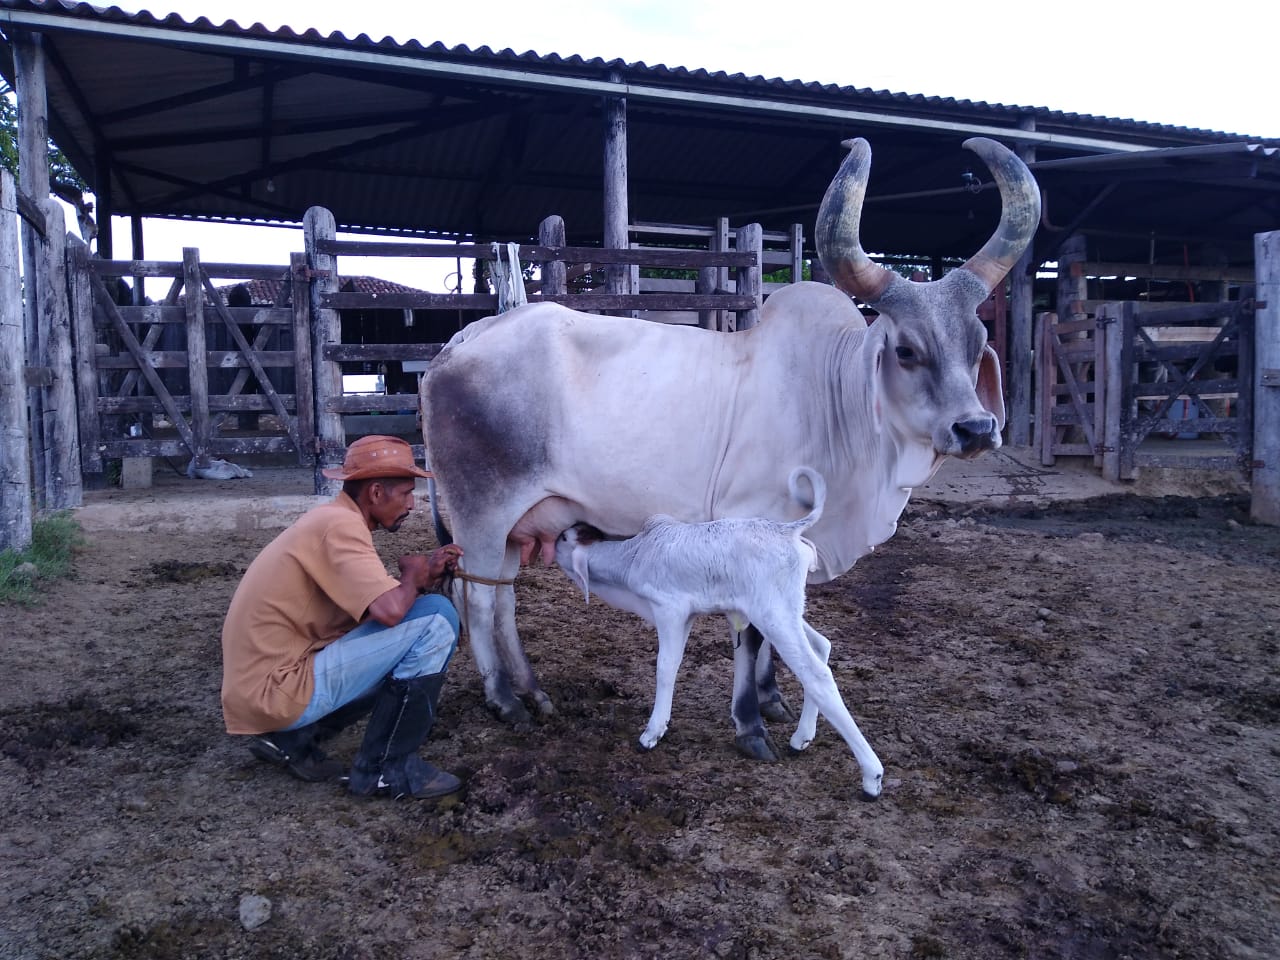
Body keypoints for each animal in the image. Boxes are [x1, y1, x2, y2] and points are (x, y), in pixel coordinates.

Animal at [555, 471, 885, 798]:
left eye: (564, 538)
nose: (555, 536)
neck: (635, 556)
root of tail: (787, 530)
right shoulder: (687, 615)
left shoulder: (670, 610)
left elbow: (665, 668)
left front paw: (652, 733)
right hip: (782, 609)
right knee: (821, 646)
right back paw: (801, 738)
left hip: (774, 614)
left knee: (816, 674)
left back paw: (872, 777)